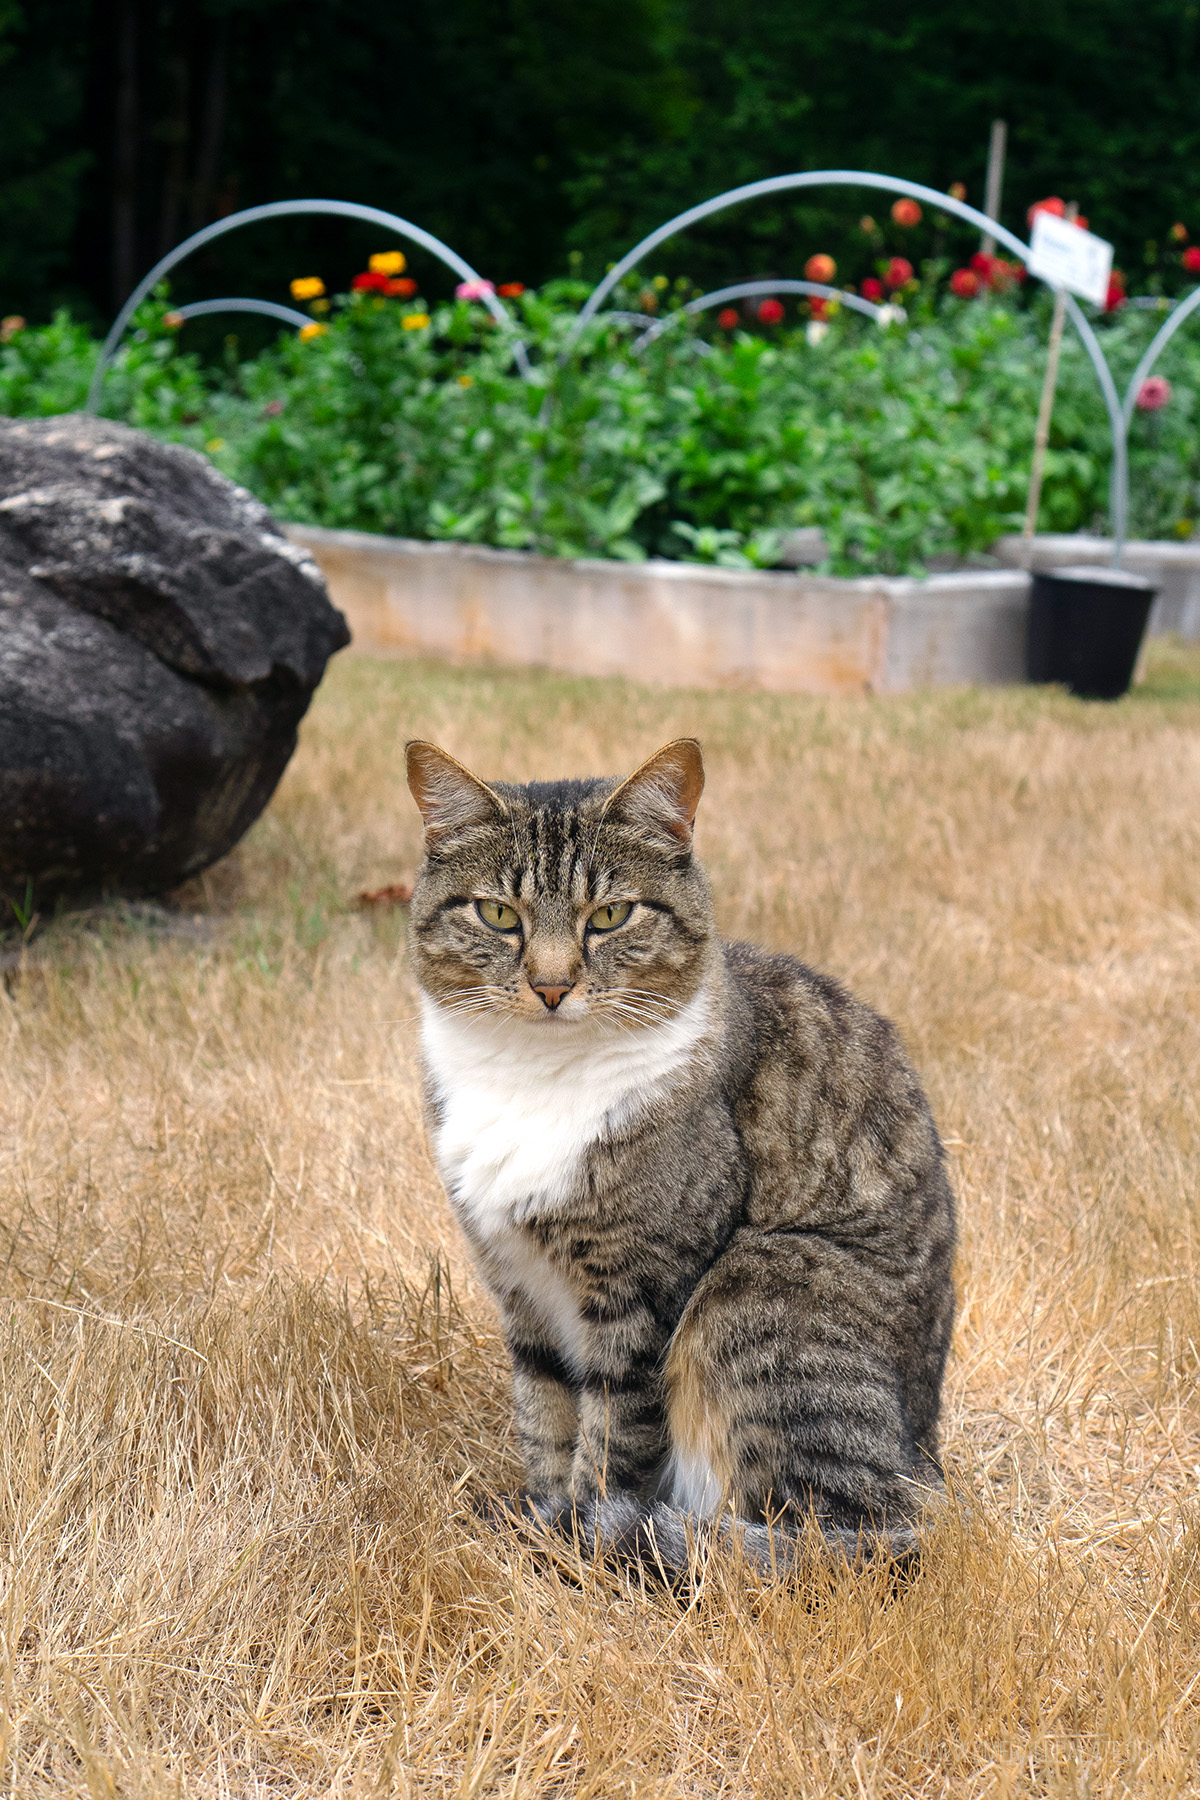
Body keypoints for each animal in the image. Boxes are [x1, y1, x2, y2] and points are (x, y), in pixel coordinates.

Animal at [402, 734, 957, 1576]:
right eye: (498, 914)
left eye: (611, 915)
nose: (552, 985)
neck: (537, 1077)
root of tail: (926, 1463)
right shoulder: (517, 1285)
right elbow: (546, 1416)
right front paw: (540, 1522)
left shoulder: (640, 1291)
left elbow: (608, 1440)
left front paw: (576, 1547)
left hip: (757, 1289)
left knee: (849, 1538)